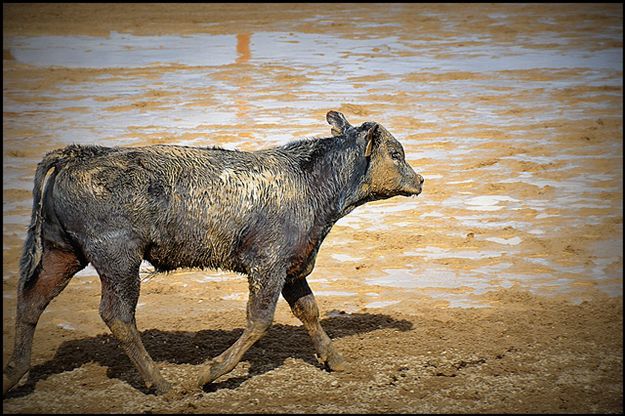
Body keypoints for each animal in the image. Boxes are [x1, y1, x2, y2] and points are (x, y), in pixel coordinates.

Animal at [1, 109, 424, 394]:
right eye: (396, 154)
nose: (420, 180)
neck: (307, 182)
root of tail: (77, 155)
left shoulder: (292, 267)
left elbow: (310, 311)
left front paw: (335, 360)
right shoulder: (267, 265)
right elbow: (259, 320)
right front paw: (208, 373)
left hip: (61, 253)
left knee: (31, 300)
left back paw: (14, 373)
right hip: (118, 261)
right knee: (116, 316)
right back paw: (162, 384)